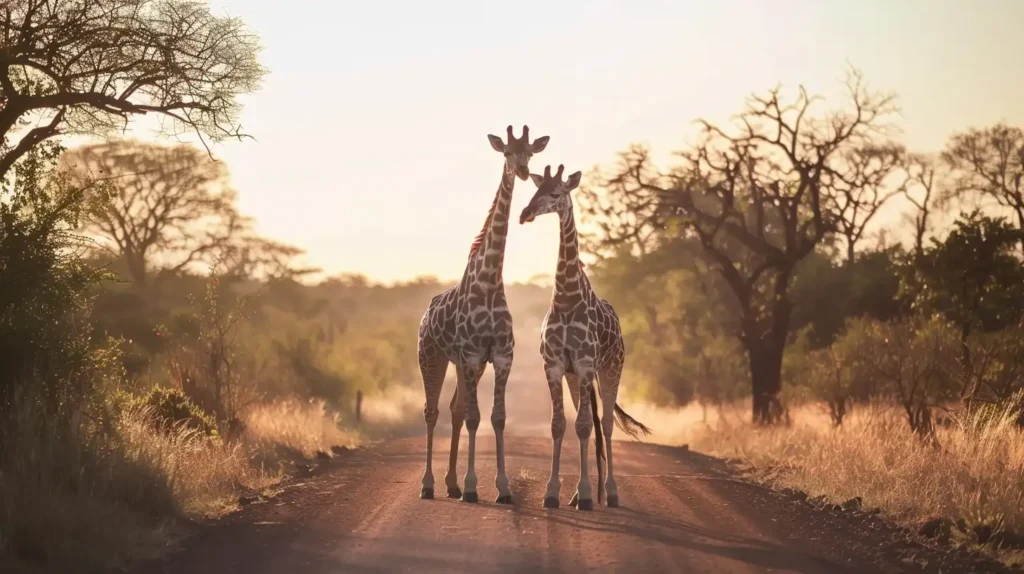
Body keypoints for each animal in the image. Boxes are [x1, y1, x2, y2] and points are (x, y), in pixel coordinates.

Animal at [415, 124, 548, 501]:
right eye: (507, 152)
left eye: (530, 153)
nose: (522, 171)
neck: (490, 282)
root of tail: (425, 313)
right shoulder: (473, 355)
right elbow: (476, 417)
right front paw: (475, 486)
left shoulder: (500, 356)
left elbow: (496, 417)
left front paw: (502, 488)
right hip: (431, 356)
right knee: (432, 411)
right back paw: (428, 484)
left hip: (459, 363)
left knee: (454, 409)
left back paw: (451, 484)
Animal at [516, 163, 651, 507]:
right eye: (535, 189)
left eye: (555, 192)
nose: (525, 214)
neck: (565, 299)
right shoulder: (555, 366)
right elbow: (560, 425)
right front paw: (553, 493)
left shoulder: (587, 364)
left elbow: (586, 425)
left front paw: (589, 494)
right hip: (576, 377)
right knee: (589, 423)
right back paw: (583, 494)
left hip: (611, 368)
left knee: (606, 423)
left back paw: (609, 493)